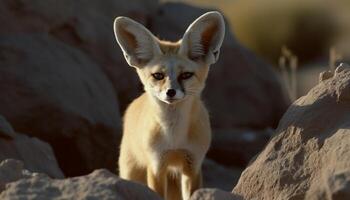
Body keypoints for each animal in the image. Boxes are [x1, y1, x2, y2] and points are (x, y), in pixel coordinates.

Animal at [113, 11, 226, 200]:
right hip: (131, 171)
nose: (170, 92)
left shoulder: (193, 164)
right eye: (158, 75)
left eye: (186, 75)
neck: (174, 138)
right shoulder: (157, 165)